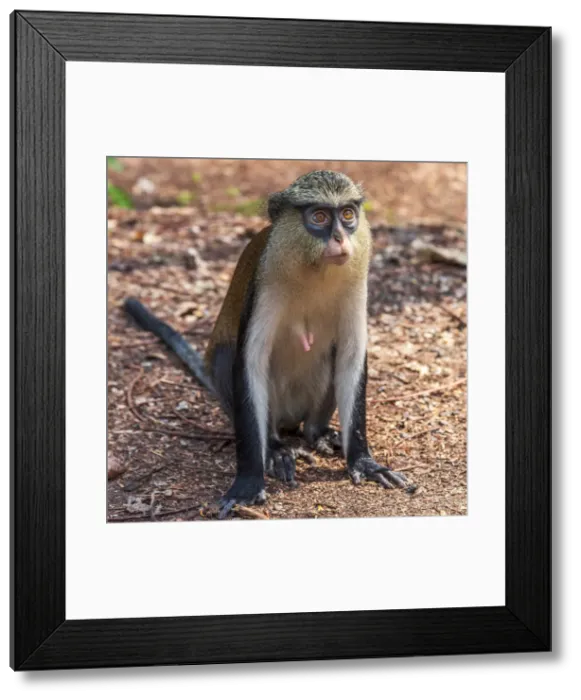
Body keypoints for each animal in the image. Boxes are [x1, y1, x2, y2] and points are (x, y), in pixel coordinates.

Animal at [123, 170, 408, 519]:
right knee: (230, 360)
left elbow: (351, 356)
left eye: (347, 215)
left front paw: (365, 462)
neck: (315, 269)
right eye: (319, 217)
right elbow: (250, 361)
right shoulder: (264, 283)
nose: (340, 239)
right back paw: (275, 448)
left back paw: (318, 433)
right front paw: (248, 482)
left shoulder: (356, 285)